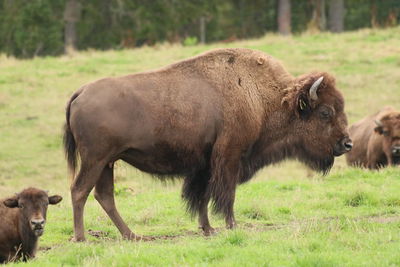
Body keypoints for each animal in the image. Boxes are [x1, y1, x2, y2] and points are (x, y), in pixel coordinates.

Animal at [64, 48, 352, 243]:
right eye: (325, 112)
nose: (347, 143)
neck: (262, 97)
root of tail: (80, 92)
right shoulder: (230, 156)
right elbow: (226, 194)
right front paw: (232, 226)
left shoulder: (204, 164)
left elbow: (202, 196)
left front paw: (208, 229)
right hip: (95, 160)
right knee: (80, 191)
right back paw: (82, 238)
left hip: (108, 163)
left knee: (104, 196)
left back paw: (132, 235)